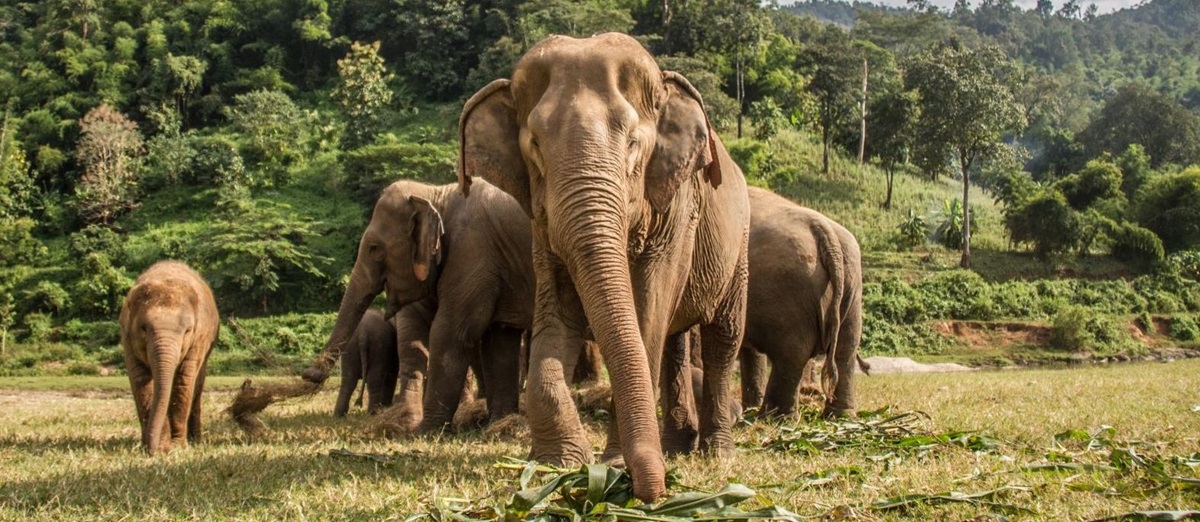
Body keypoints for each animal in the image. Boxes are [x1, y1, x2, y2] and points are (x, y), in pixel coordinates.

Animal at [119, 260, 219, 455]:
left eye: (188, 330)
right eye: (144, 328)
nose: (151, 449)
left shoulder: (199, 339)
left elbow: (184, 380)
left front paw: (177, 447)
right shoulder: (127, 338)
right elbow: (141, 381)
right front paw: (160, 448)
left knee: (197, 384)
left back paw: (196, 440)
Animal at [301, 178, 536, 433]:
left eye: (374, 248)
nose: (310, 374)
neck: (437, 193)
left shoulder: (473, 255)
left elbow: (449, 333)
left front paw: (425, 432)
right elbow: (497, 340)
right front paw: (499, 424)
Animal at [458, 33, 751, 502]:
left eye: (632, 142)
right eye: (535, 145)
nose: (654, 491)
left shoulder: (676, 209)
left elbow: (647, 311)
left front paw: (612, 464)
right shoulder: (542, 224)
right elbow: (557, 310)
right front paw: (558, 464)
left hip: (738, 244)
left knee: (723, 336)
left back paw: (716, 453)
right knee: (674, 341)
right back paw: (677, 447)